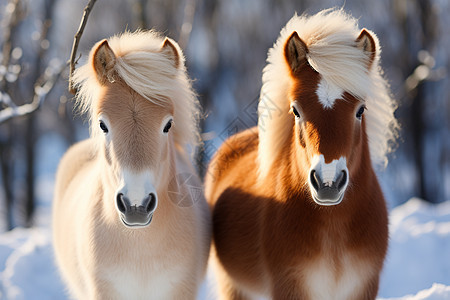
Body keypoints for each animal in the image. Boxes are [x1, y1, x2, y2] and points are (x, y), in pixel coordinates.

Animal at [205, 9, 398, 300]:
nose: (328, 183)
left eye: (360, 109)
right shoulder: (290, 286)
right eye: (296, 110)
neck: (334, 226)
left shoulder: (363, 287)